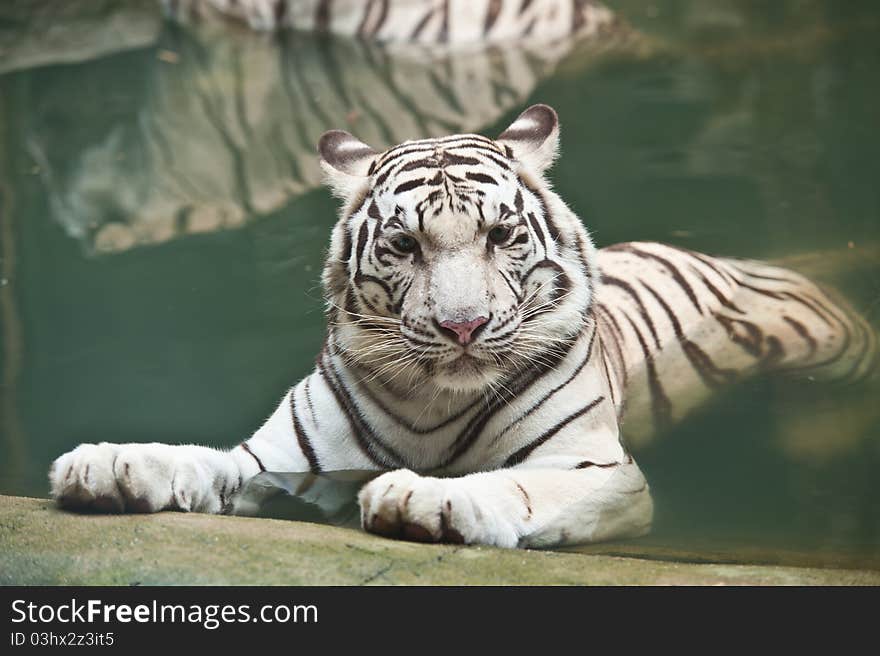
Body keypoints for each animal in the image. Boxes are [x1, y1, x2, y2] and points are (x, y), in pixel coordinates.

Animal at [48, 105, 872, 544]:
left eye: (501, 236)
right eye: (405, 245)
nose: (464, 326)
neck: (430, 398)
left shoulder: (598, 471)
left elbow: (519, 487)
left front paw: (428, 499)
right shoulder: (279, 461)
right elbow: (201, 460)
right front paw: (110, 464)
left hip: (835, 341)